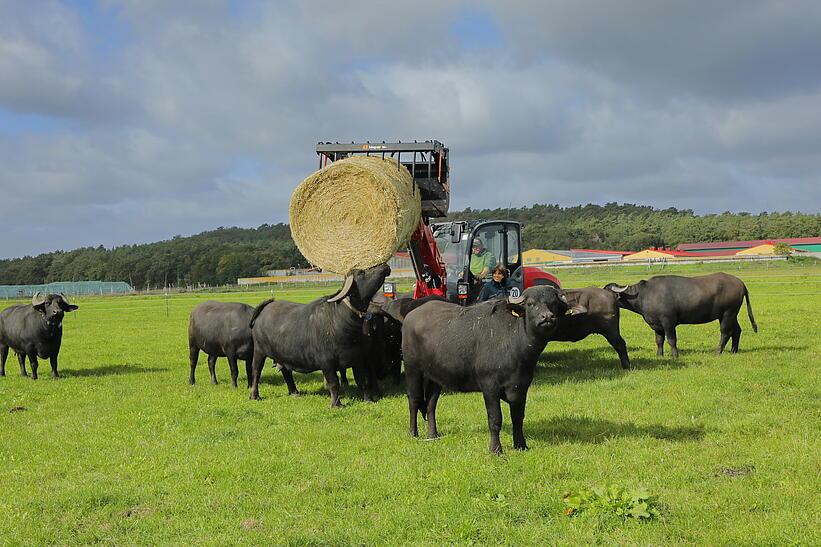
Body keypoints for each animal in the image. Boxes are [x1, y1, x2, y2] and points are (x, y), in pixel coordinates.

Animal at [247, 266, 390, 406]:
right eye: (361, 272)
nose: (385, 266)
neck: (341, 319)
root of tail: (266, 306)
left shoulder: (358, 359)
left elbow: (362, 381)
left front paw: (368, 399)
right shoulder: (326, 363)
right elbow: (334, 383)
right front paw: (336, 404)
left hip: (282, 355)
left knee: (286, 371)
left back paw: (294, 392)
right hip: (259, 352)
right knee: (256, 372)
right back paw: (255, 395)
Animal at [398, 284, 584, 456]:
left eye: (553, 304)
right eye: (531, 304)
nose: (547, 317)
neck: (517, 344)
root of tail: (410, 316)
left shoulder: (521, 387)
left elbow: (518, 418)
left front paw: (521, 445)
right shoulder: (490, 387)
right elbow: (495, 419)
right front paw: (496, 449)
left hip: (436, 376)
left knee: (430, 403)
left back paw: (433, 434)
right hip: (412, 369)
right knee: (414, 400)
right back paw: (413, 433)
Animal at [604, 272, 756, 358]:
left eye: (607, 291)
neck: (644, 295)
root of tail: (740, 283)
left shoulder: (668, 322)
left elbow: (671, 340)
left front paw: (674, 355)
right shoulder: (657, 325)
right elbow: (659, 340)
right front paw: (659, 356)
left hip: (727, 314)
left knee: (726, 333)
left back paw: (718, 352)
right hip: (732, 315)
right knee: (737, 330)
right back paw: (733, 351)